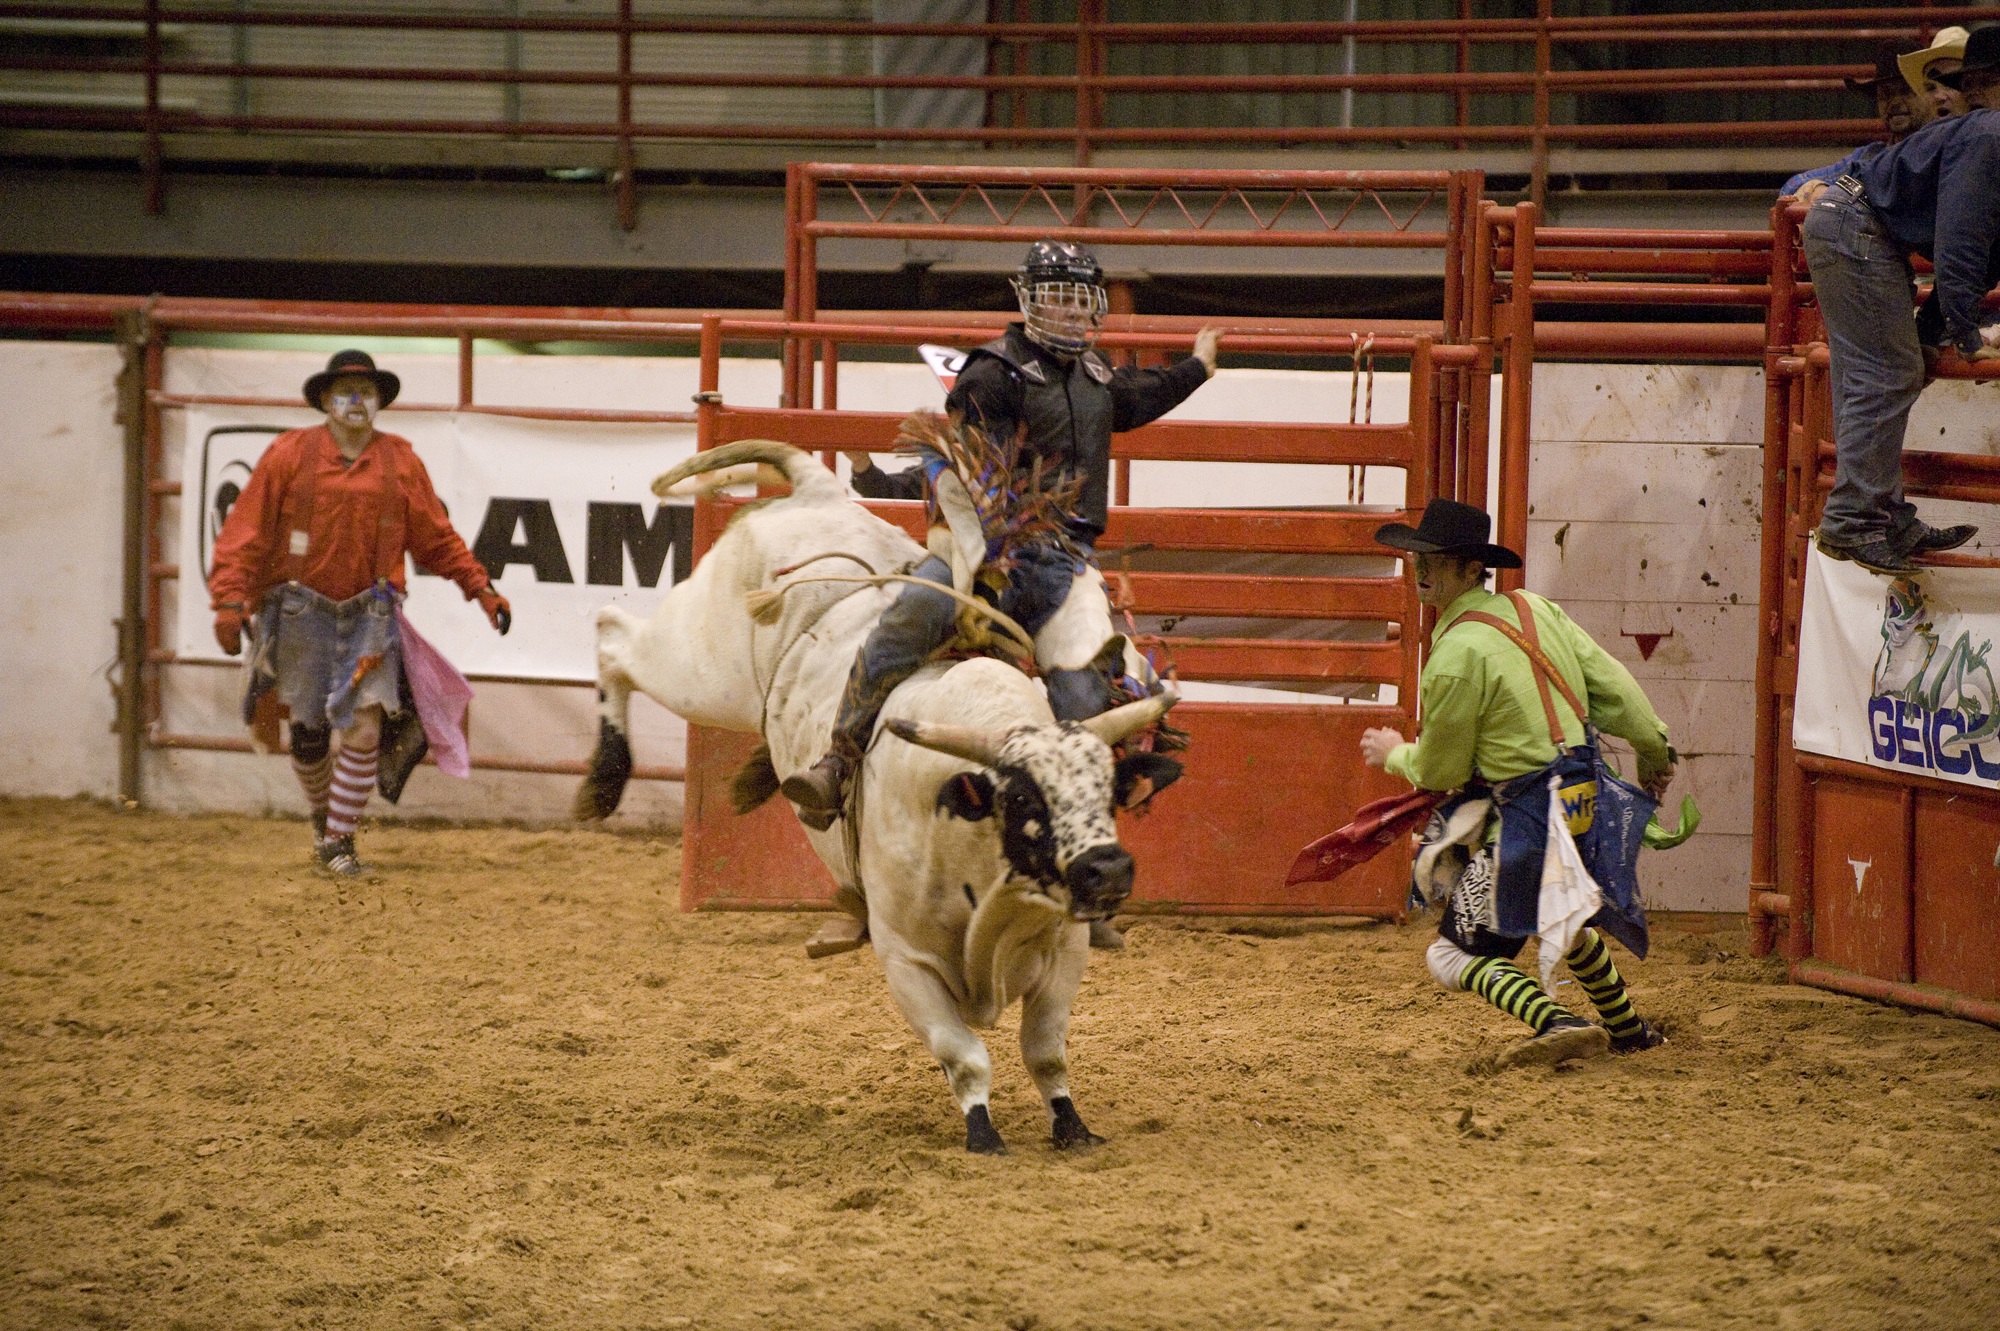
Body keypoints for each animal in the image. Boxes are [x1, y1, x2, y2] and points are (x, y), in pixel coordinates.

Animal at [572, 439, 1176, 1143]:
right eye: (1025, 800)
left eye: (1107, 792)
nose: (1109, 870)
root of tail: (815, 491)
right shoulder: (907, 962)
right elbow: (964, 1056)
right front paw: (982, 1132)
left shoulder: (1064, 950)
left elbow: (1046, 1050)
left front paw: (1072, 1125)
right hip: (700, 666)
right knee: (613, 635)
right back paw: (603, 783)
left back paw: (757, 781)